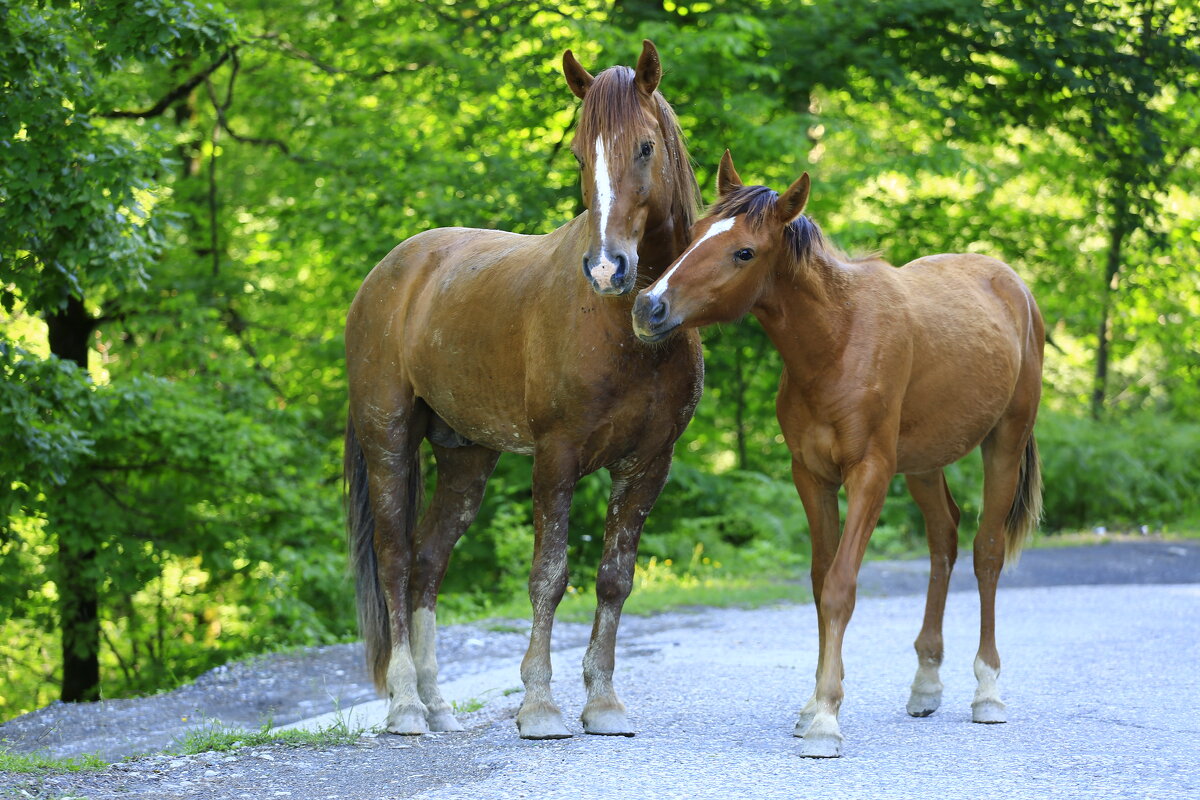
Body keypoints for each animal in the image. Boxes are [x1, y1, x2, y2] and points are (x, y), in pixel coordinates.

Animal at [340, 40, 700, 743]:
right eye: (580, 152)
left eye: (645, 146)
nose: (607, 269)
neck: (629, 328)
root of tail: (387, 274)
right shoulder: (557, 457)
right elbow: (549, 576)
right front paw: (539, 705)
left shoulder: (648, 464)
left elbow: (614, 579)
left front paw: (604, 703)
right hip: (388, 439)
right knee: (394, 560)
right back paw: (405, 706)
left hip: (466, 458)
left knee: (427, 563)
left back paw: (438, 705)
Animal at [633, 149, 1046, 758]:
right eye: (695, 236)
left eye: (743, 251)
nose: (649, 307)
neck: (839, 340)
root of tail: (1014, 286)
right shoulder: (812, 476)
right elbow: (818, 579)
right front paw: (813, 706)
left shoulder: (869, 474)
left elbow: (840, 587)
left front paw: (826, 718)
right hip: (925, 462)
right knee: (943, 541)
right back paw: (926, 683)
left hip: (1005, 444)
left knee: (986, 553)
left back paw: (987, 690)